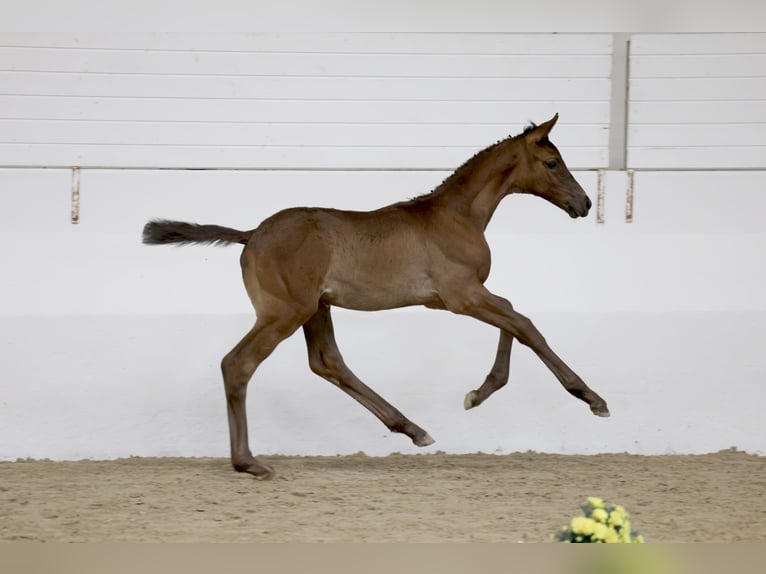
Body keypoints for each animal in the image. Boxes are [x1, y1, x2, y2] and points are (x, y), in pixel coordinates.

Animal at [143, 114, 609, 480]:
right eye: (552, 162)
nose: (584, 203)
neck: (456, 216)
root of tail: (251, 234)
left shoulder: (454, 298)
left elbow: (513, 316)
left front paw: (479, 393)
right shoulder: (462, 296)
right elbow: (526, 324)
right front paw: (591, 398)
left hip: (316, 308)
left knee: (327, 363)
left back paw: (412, 429)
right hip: (284, 313)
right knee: (238, 364)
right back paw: (250, 463)